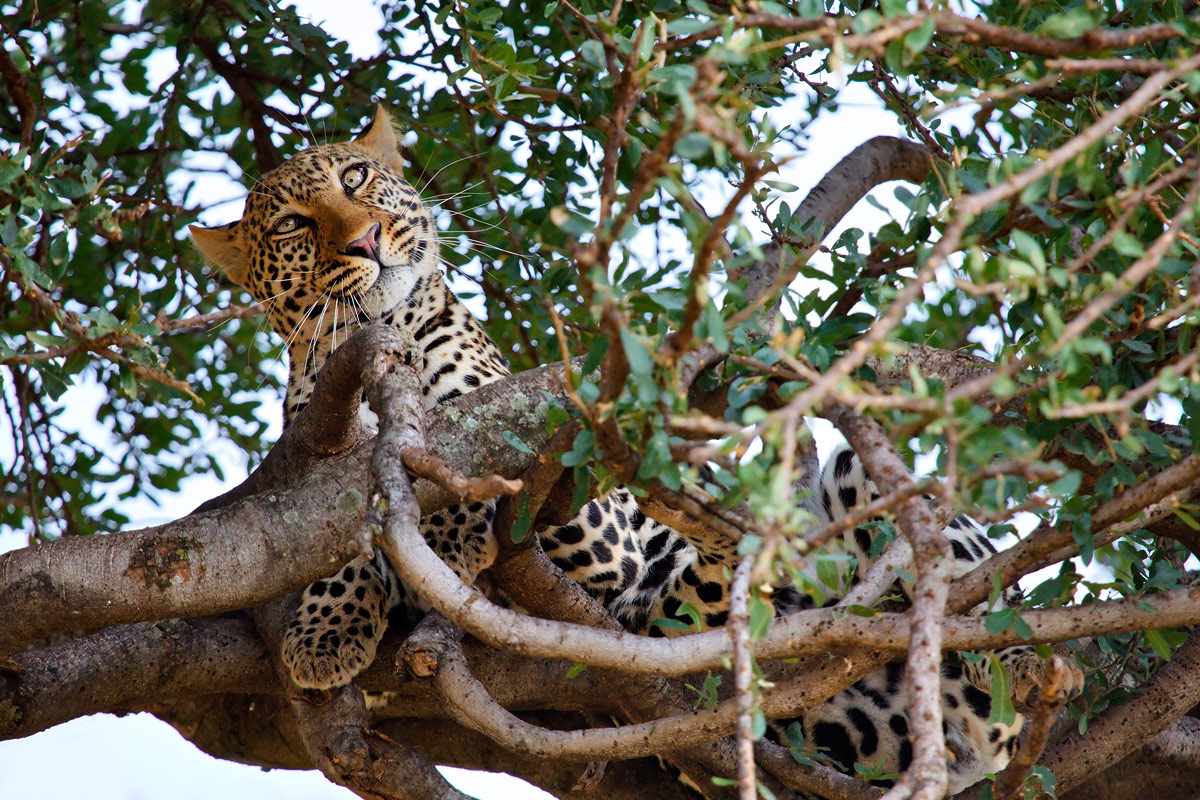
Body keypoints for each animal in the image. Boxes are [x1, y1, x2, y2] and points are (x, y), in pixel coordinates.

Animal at [192, 106, 1083, 797]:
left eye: (356, 180)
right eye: (295, 225)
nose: (366, 239)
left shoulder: (600, 526)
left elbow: (480, 481)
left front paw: (444, 539)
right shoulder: (316, 469)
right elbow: (348, 537)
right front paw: (324, 632)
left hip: (863, 486)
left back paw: (1029, 667)